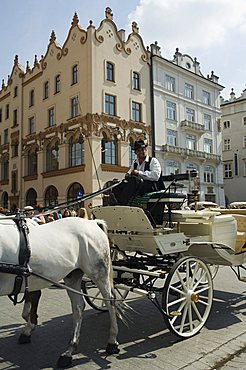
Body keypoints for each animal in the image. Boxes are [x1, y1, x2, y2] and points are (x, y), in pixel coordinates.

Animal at [0, 217, 120, 368]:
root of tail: (92, 222)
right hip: (72, 275)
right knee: (78, 307)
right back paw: (69, 351)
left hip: (99, 272)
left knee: (110, 301)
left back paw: (112, 342)